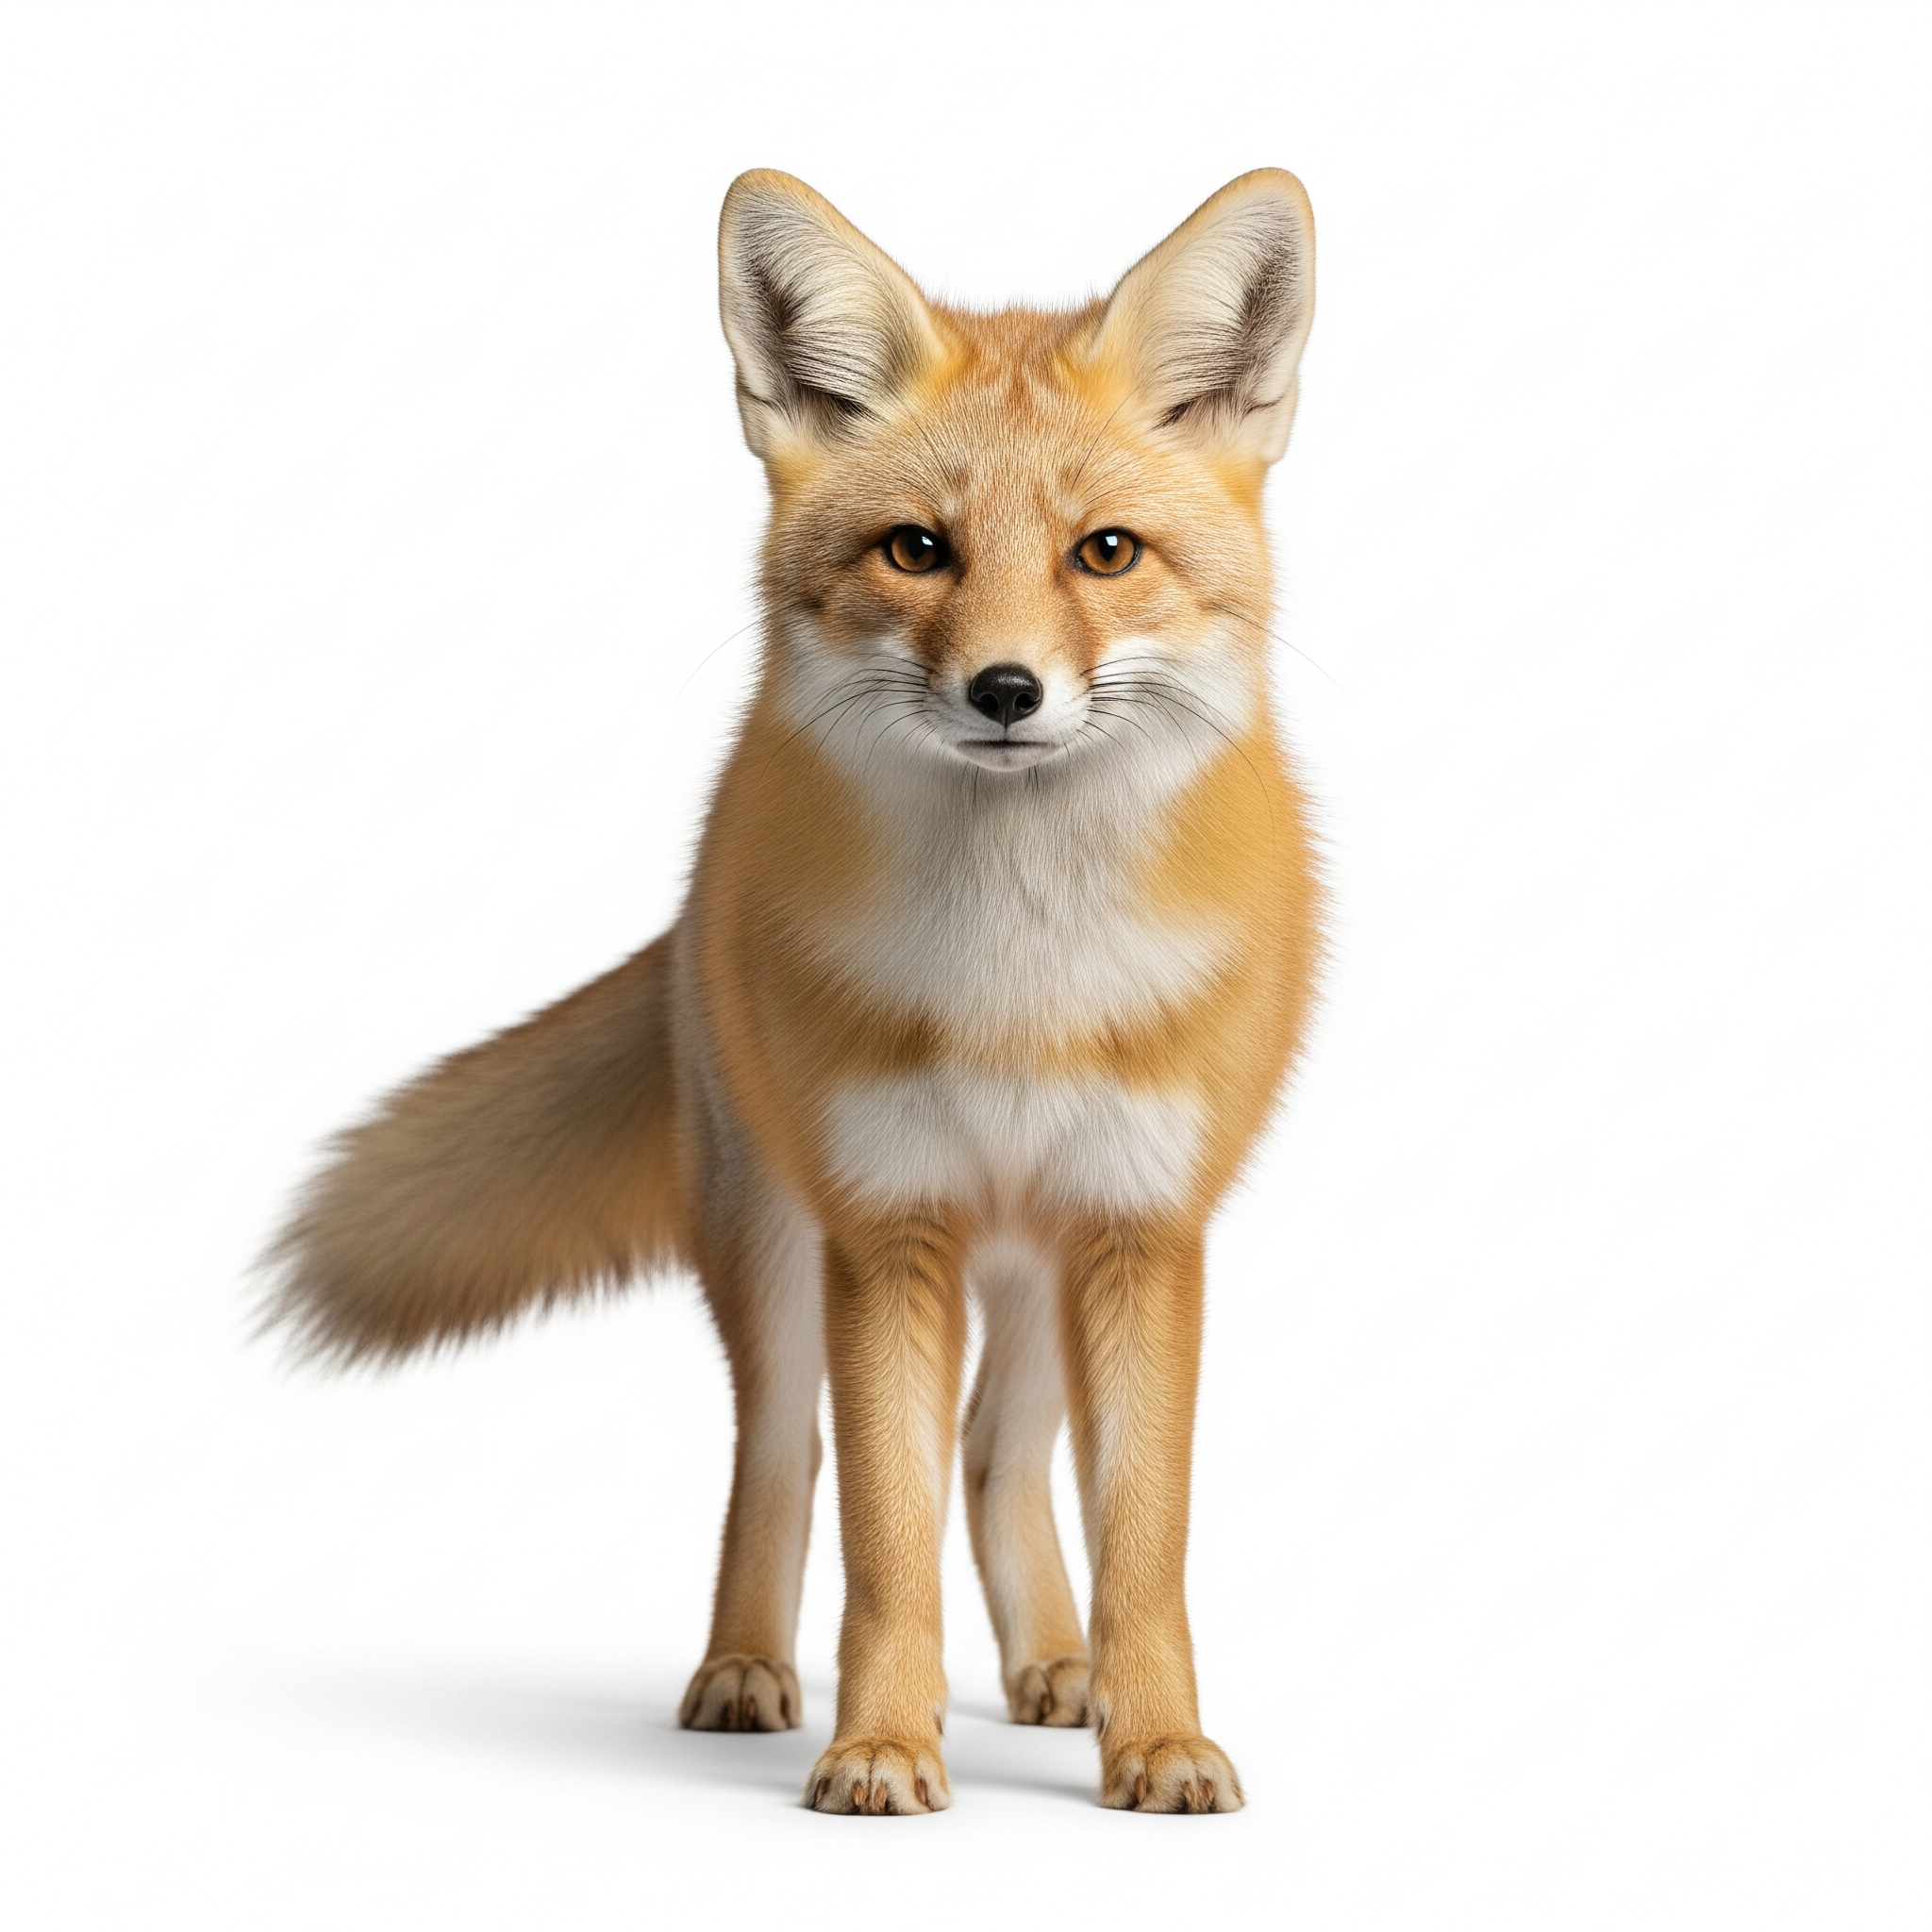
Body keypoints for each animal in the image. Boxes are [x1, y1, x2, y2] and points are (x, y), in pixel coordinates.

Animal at [265, 167, 1322, 1816]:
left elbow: (1146, 1541)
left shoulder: (1142, 1231)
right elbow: (881, 1539)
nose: (1007, 692)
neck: (1018, 985)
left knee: (995, 1453)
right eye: (915, 551)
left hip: (1035, 1260)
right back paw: (749, 1671)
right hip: (770, 1237)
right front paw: (881, 1744)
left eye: (1105, 554)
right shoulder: (884, 1226)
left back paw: (1056, 1669)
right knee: (791, 1458)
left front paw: (1156, 1742)